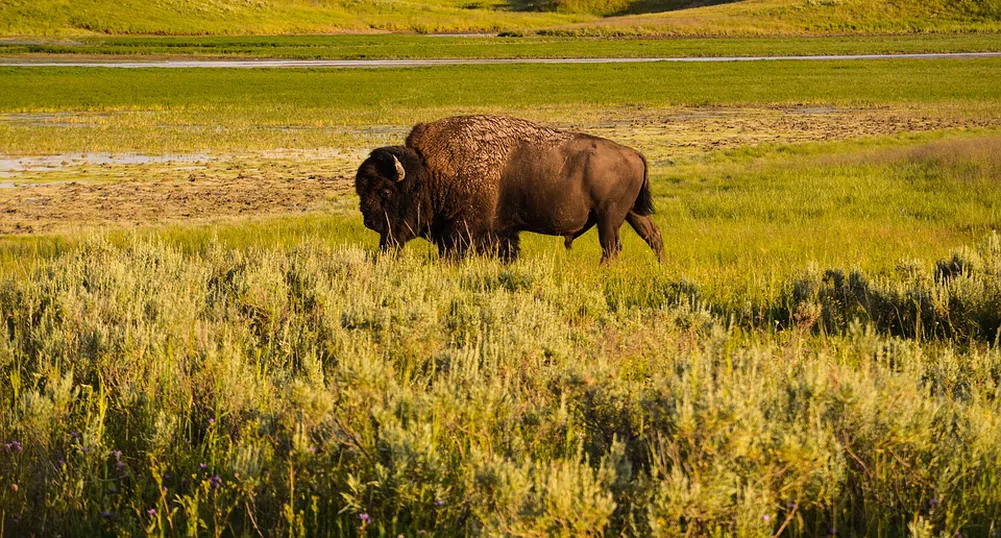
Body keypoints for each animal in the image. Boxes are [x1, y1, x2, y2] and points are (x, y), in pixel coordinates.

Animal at [354, 114, 664, 262]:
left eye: (385, 192)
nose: (368, 220)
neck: (430, 171)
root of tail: (635, 154)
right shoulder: (499, 233)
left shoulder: (463, 232)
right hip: (631, 213)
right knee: (653, 236)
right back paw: (661, 265)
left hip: (609, 217)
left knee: (611, 247)